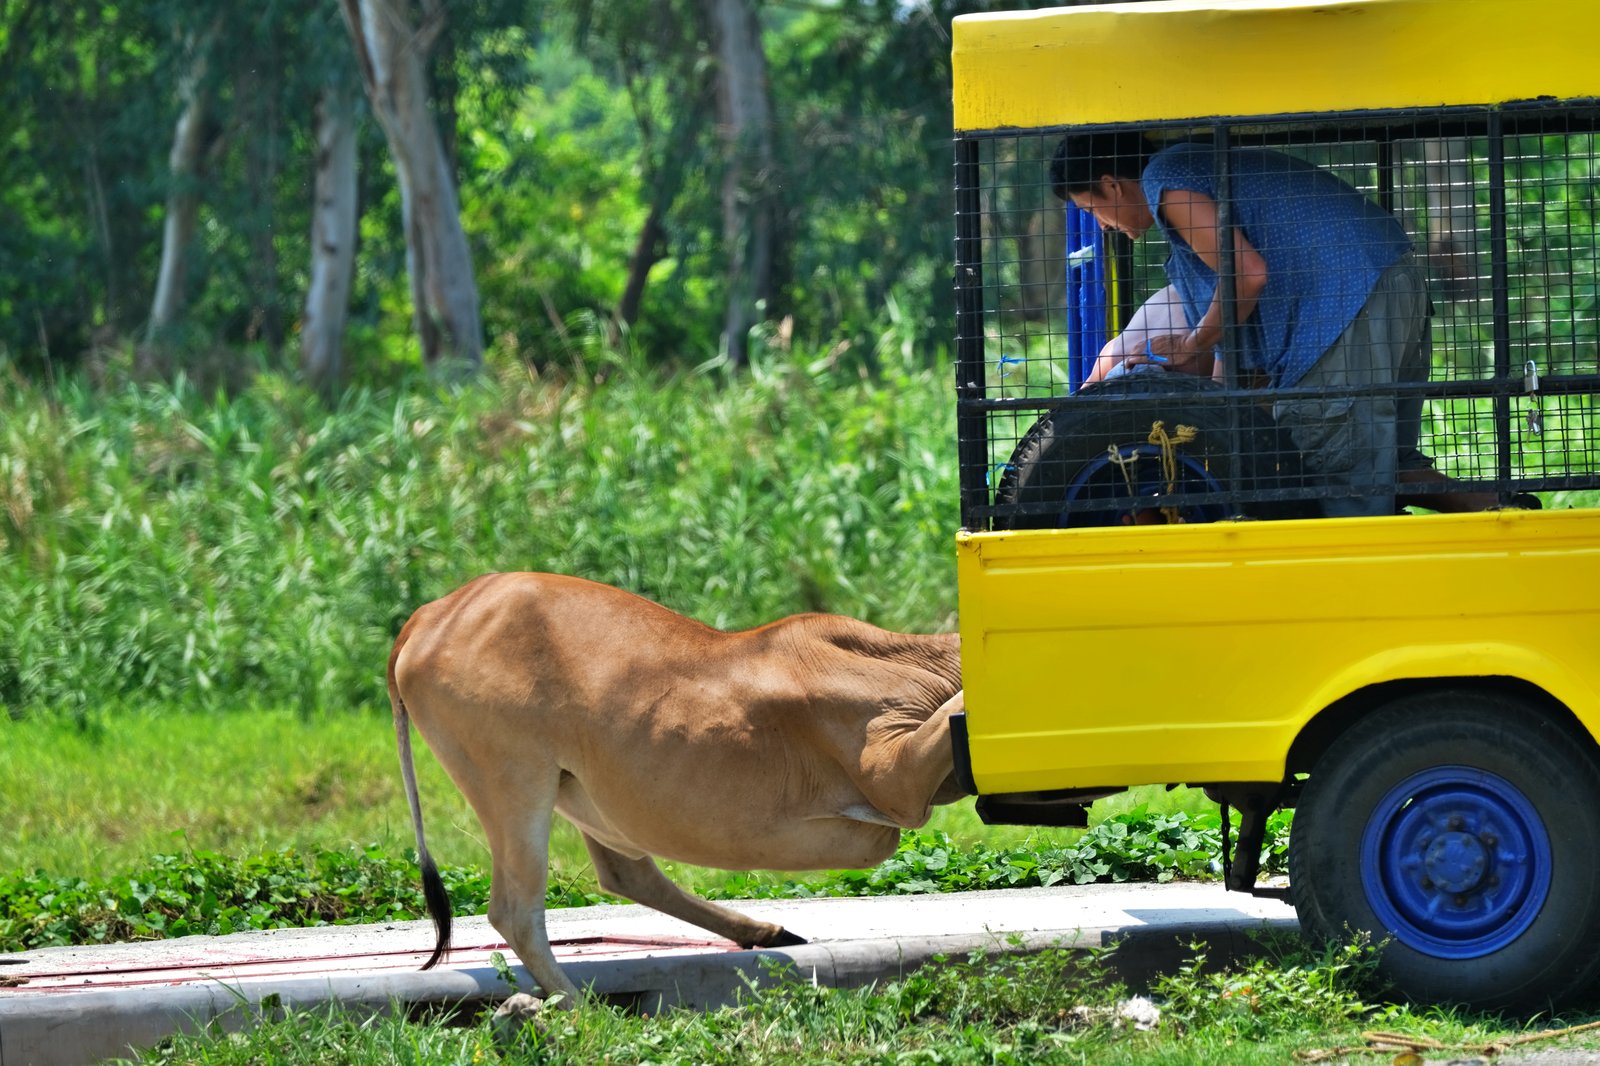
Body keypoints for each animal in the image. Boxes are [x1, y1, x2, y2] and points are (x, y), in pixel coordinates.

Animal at [387, 572, 966, 1004]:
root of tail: (432, 612)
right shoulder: (897, 784)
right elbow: (947, 722)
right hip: (515, 780)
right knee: (516, 910)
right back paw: (585, 1012)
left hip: (582, 793)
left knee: (626, 872)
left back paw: (763, 933)